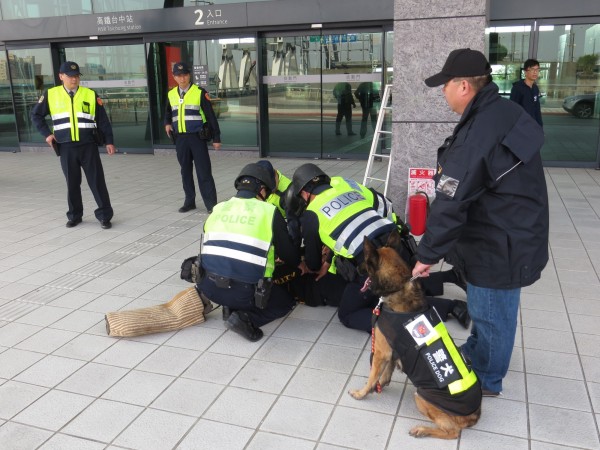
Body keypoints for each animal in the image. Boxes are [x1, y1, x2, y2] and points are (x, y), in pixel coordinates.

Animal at [346, 232, 482, 440]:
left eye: (365, 262)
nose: (356, 270)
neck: (399, 286)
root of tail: (476, 413)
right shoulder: (391, 352)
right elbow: (385, 373)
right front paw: (381, 385)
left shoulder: (380, 353)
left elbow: (372, 377)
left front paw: (362, 393)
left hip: (422, 397)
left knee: (452, 432)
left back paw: (422, 430)